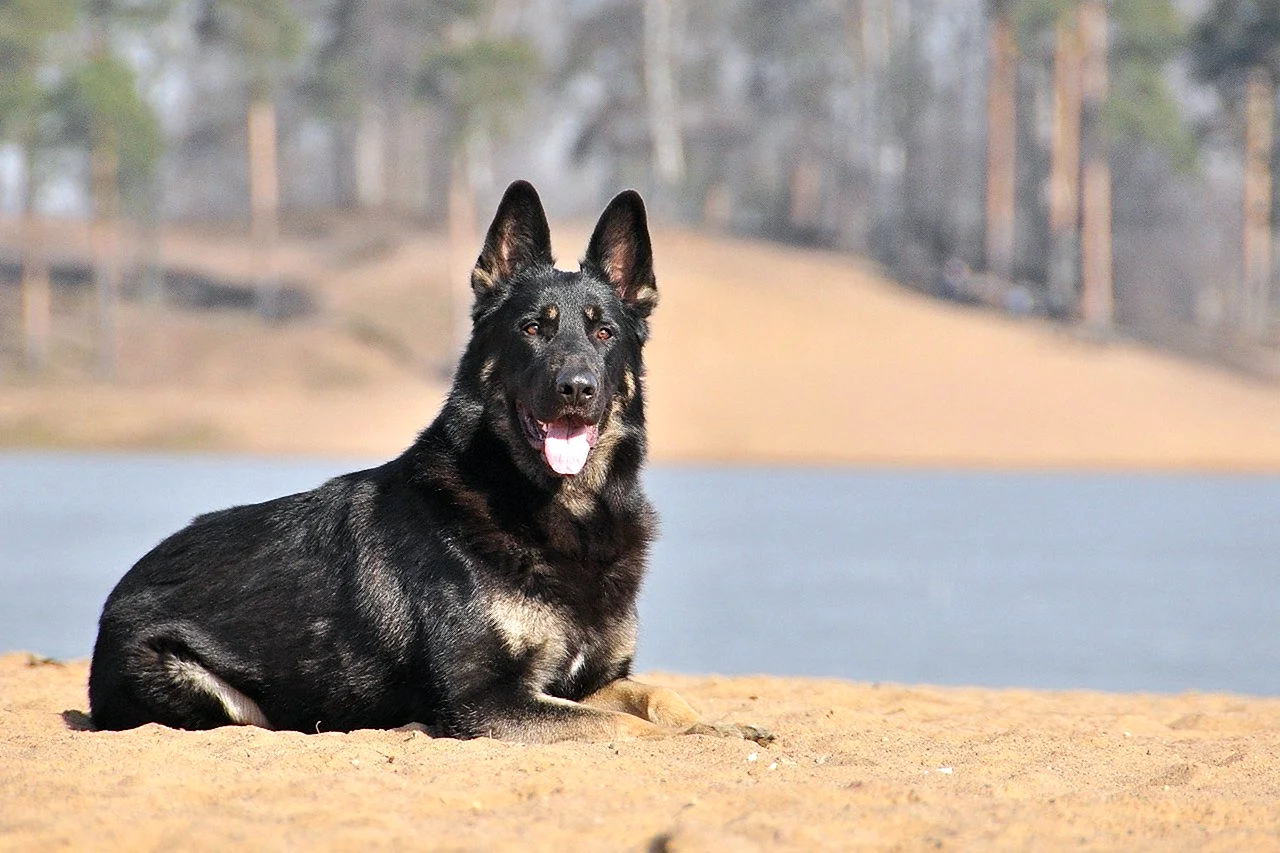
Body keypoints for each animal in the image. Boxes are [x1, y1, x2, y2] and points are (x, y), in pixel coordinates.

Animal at [92, 180, 768, 742]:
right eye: (533, 329)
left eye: (604, 334)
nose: (576, 388)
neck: (560, 511)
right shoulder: (484, 700)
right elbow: (628, 727)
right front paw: (696, 739)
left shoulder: (593, 681)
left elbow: (660, 699)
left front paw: (719, 727)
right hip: (208, 690)